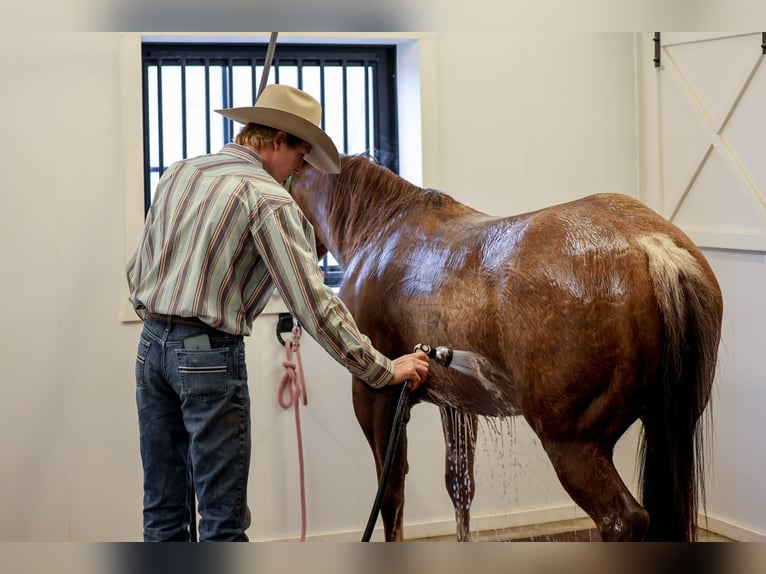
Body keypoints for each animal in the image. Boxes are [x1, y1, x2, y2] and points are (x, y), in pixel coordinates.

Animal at [288, 154, 723, 542]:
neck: (382, 229)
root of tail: (650, 244)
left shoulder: (378, 398)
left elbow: (391, 495)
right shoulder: (457, 405)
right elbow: (460, 489)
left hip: (575, 444)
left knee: (622, 522)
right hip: (668, 428)